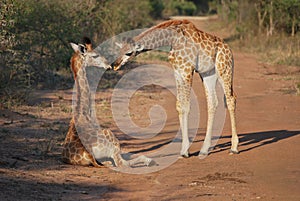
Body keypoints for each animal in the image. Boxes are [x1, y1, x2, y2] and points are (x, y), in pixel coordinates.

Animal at [62, 38, 154, 167]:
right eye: (95, 55)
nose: (109, 65)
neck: (83, 112)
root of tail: (88, 153)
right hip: (110, 137)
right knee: (122, 163)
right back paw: (149, 160)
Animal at [114, 19, 239, 157]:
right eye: (118, 51)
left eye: (129, 53)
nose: (115, 65)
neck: (173, 39)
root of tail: (229, 49)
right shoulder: (178, 71)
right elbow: (180, 105)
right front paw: (184, 150)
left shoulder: (187, 70)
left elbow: (186, 105)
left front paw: (185, 150)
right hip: (208, 74)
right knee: (212, 102)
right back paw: (204, 149)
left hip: (224, 70)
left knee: (231, 99)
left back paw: (234, 147)